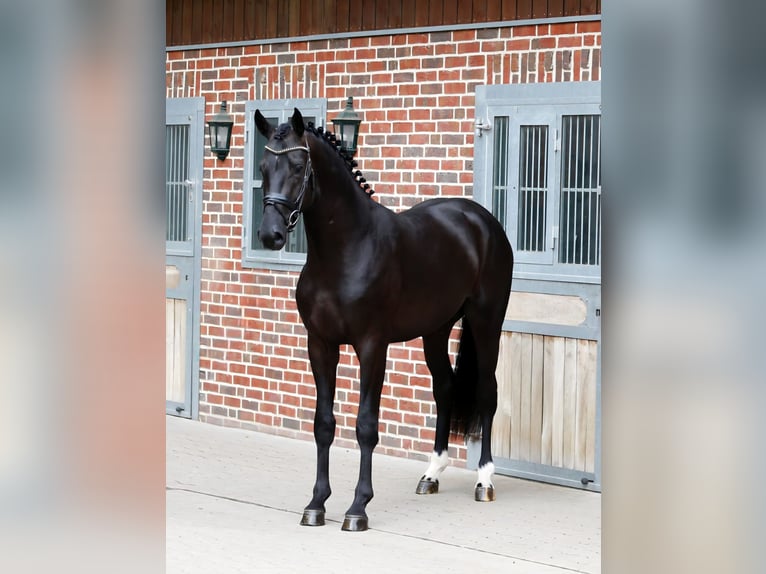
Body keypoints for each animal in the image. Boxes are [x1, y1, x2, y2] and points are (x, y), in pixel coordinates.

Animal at [254, 108, 513, 532]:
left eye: (296, 166)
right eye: (263, 167)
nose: (270, 235)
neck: (346, 251)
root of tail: (481, 220)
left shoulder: (372, 347)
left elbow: (365, 426)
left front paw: (358, 508)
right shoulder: (320, 345)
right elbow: (323, 424)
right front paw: (316, 504)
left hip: (486, 322)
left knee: (487, 392)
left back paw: (484, 480)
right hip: (435, 330)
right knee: (444, 388)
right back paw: (431, 474)